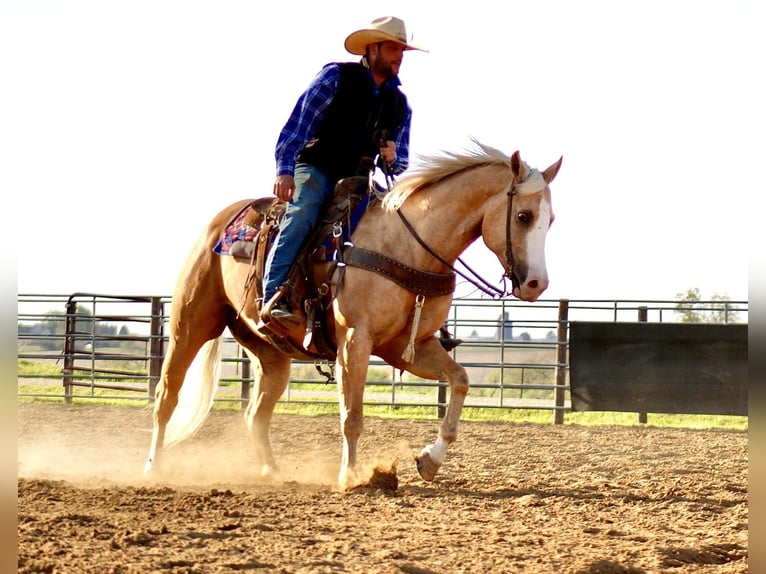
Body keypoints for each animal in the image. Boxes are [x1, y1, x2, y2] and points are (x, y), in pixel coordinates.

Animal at [144, 141, 562, 489]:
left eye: (551, 219)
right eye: (524, 216)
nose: (536, 284)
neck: (408, 244)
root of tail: (222, 222)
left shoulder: (406, 347)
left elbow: (459, 381)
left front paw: (429, 460)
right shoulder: (354, 342)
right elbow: (352, 415)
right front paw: (351, 476)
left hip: (271, 354)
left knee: (256, 414)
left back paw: (272, 472)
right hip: (190, 323)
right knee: (167, 395)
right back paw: (153, 467)